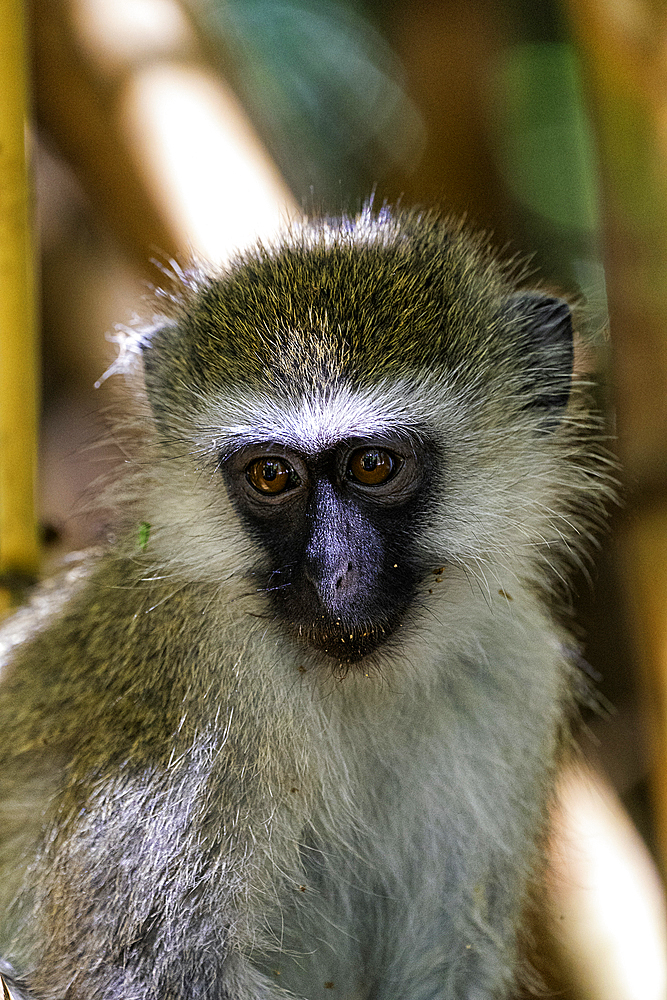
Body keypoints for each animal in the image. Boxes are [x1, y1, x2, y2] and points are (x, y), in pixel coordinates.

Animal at [0, 205, 612, 1000]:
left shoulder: (516, 675)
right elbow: (143, 975)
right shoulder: (195, 688)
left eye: (372, 465)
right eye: (271, 476)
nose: (332, 571)